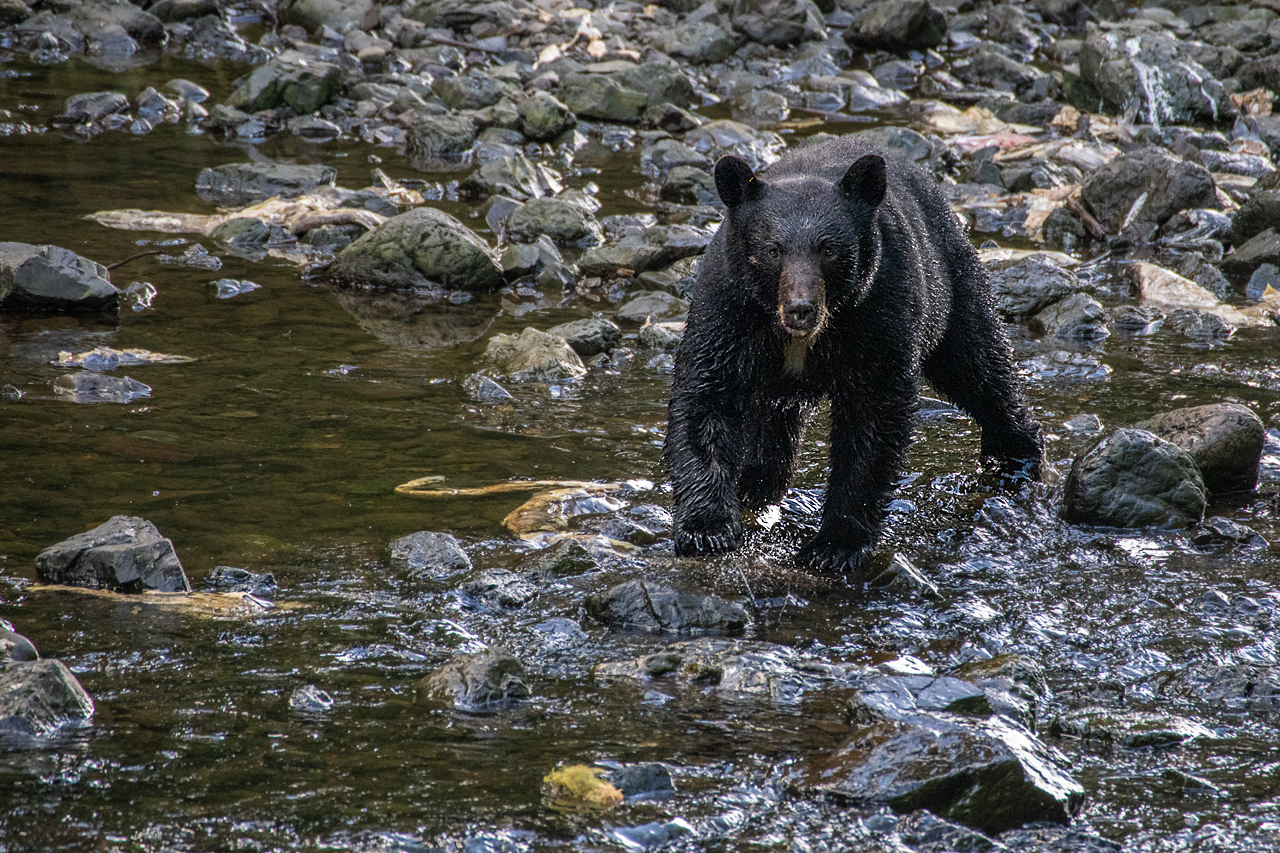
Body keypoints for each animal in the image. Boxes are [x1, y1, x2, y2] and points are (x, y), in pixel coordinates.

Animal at [665, 136, 1044, 573]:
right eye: (773, 250)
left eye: (828, 249)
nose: (800, 308)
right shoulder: (731, 306)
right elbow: (706, 393)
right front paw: (706, 529)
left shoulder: (880, 308)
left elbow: (873, 414)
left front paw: (835, 545)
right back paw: (756, 482)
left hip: (950, 278)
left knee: (979, 363)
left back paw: (1017, 457)